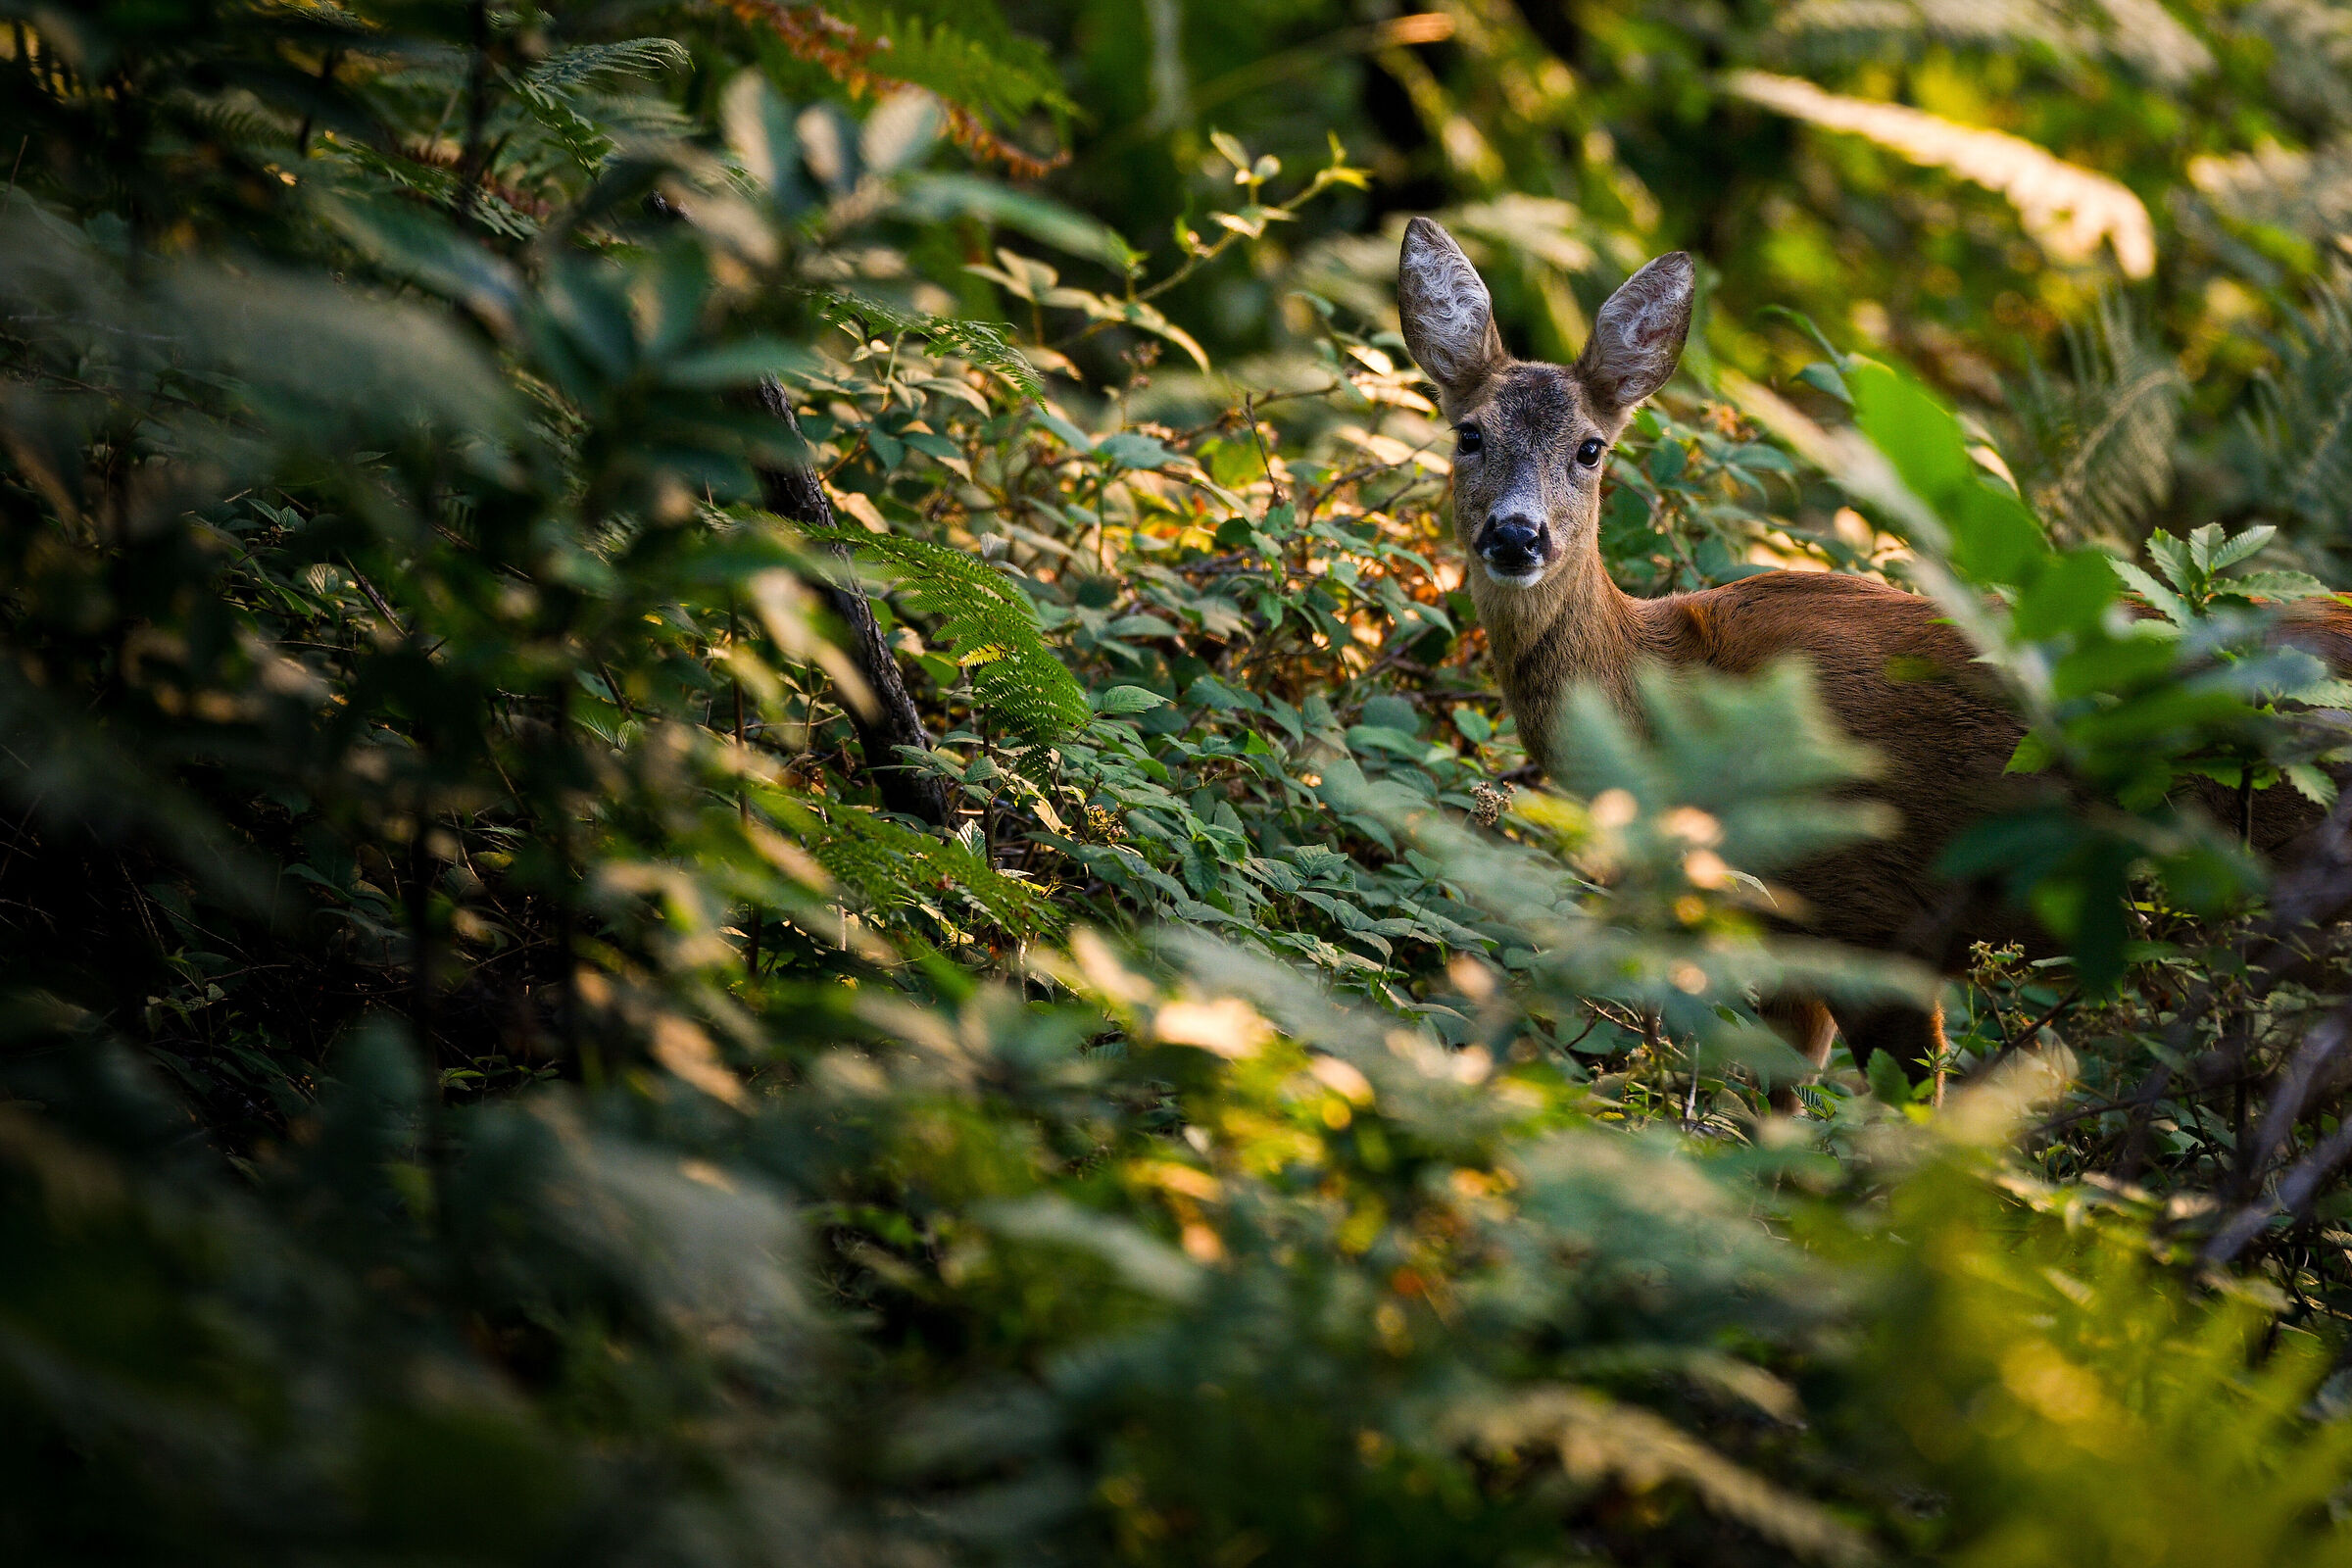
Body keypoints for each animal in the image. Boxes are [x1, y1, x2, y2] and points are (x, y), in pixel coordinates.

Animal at [1395, 215, 2349, 1097]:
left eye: (1590, 448)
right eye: (1469, 434)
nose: (1517, 535)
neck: (1674, 689)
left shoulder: (1877, 919)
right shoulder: (1785, 936)